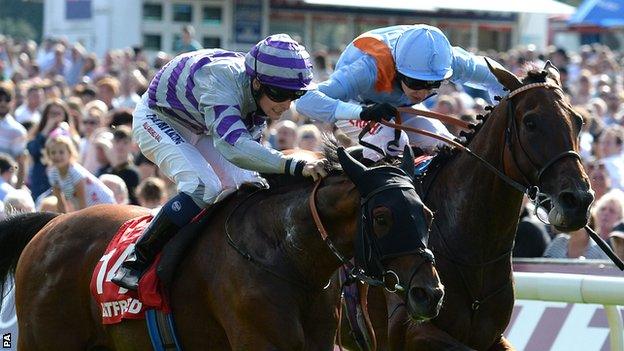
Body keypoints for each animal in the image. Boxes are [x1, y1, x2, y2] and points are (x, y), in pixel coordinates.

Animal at [0, 144, 444, 350]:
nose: (430, 293)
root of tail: (49, 224)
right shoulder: (258, 341)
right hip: (45, 341)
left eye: (427, 213)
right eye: (382, 217)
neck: (287, 258)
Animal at [346, 62, 596, 350]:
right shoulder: (408, 330)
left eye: (578, 121)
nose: (578, 200)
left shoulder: (491, 337)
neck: (475, 253)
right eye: (530, 122)